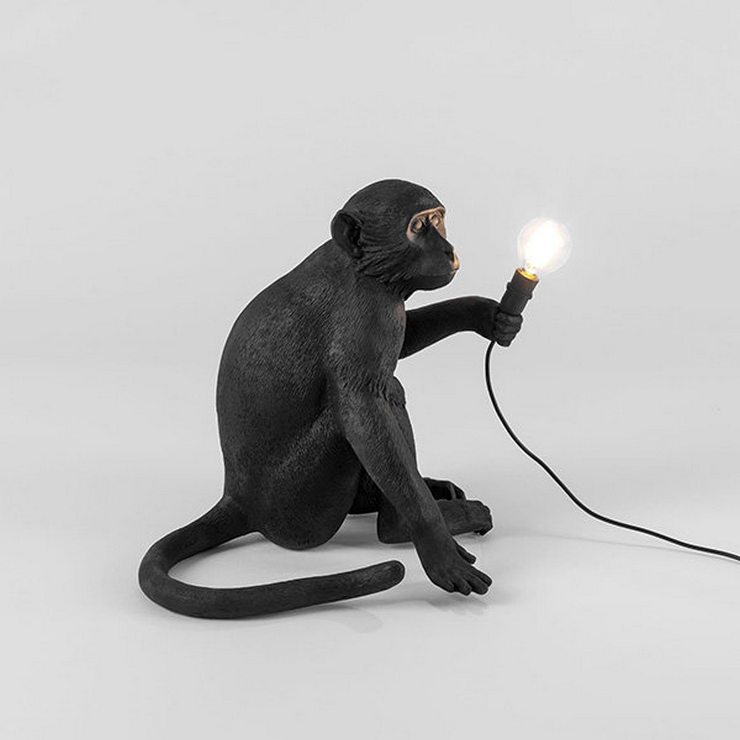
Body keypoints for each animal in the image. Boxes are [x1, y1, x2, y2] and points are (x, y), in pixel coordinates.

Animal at [138, 179, 523, 618]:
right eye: (418, 227)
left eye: (439, 220)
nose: (448, 249)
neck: (361, 268)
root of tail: (239, 499)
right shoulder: (367, 313)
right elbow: (361, 408)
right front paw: (435, 545)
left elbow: (405, 340)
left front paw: (486, 314)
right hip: (302, 509)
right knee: (387, 392)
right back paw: (401, 525)